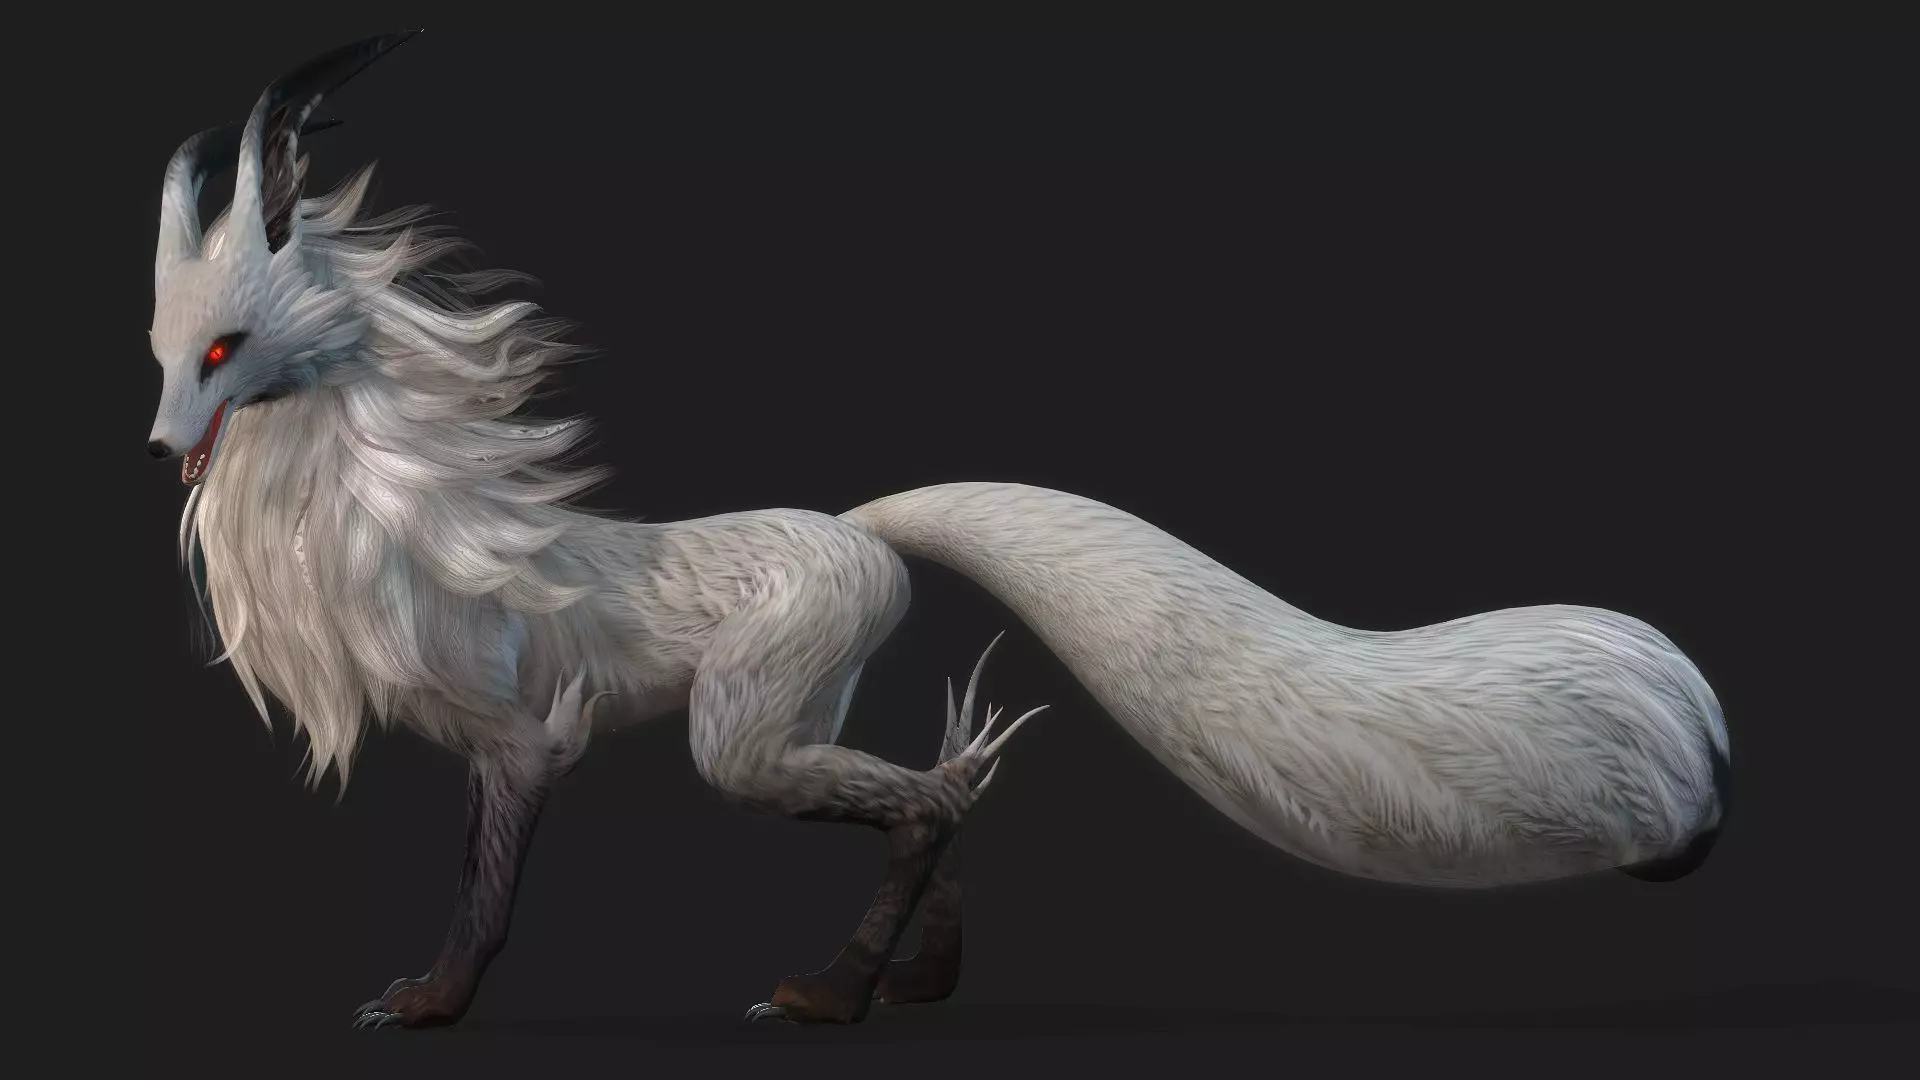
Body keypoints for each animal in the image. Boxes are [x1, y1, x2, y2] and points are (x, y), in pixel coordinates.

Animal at [147, 33, 1731, 1029]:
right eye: (162, 350)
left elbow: (483, 895)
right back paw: (912, 979)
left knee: (920, 803)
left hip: (743, 730)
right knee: (932, 799)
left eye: (226, 350)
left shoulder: (523, 742)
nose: (163, 450)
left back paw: (828, 999)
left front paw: (430, 1007)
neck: (404, 531)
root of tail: (861, 524)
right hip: (799, 714)